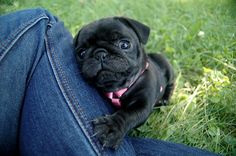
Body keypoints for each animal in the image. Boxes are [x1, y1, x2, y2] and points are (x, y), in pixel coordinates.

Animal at [74, 16, 175, 149]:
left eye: (124, 45)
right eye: (82, 53)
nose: (100, 53)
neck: (118, 89)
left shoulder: (142, 105)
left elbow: (128, 115)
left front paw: (111, 128)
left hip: (166, 66)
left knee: (171, 85)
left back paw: (165, 99)